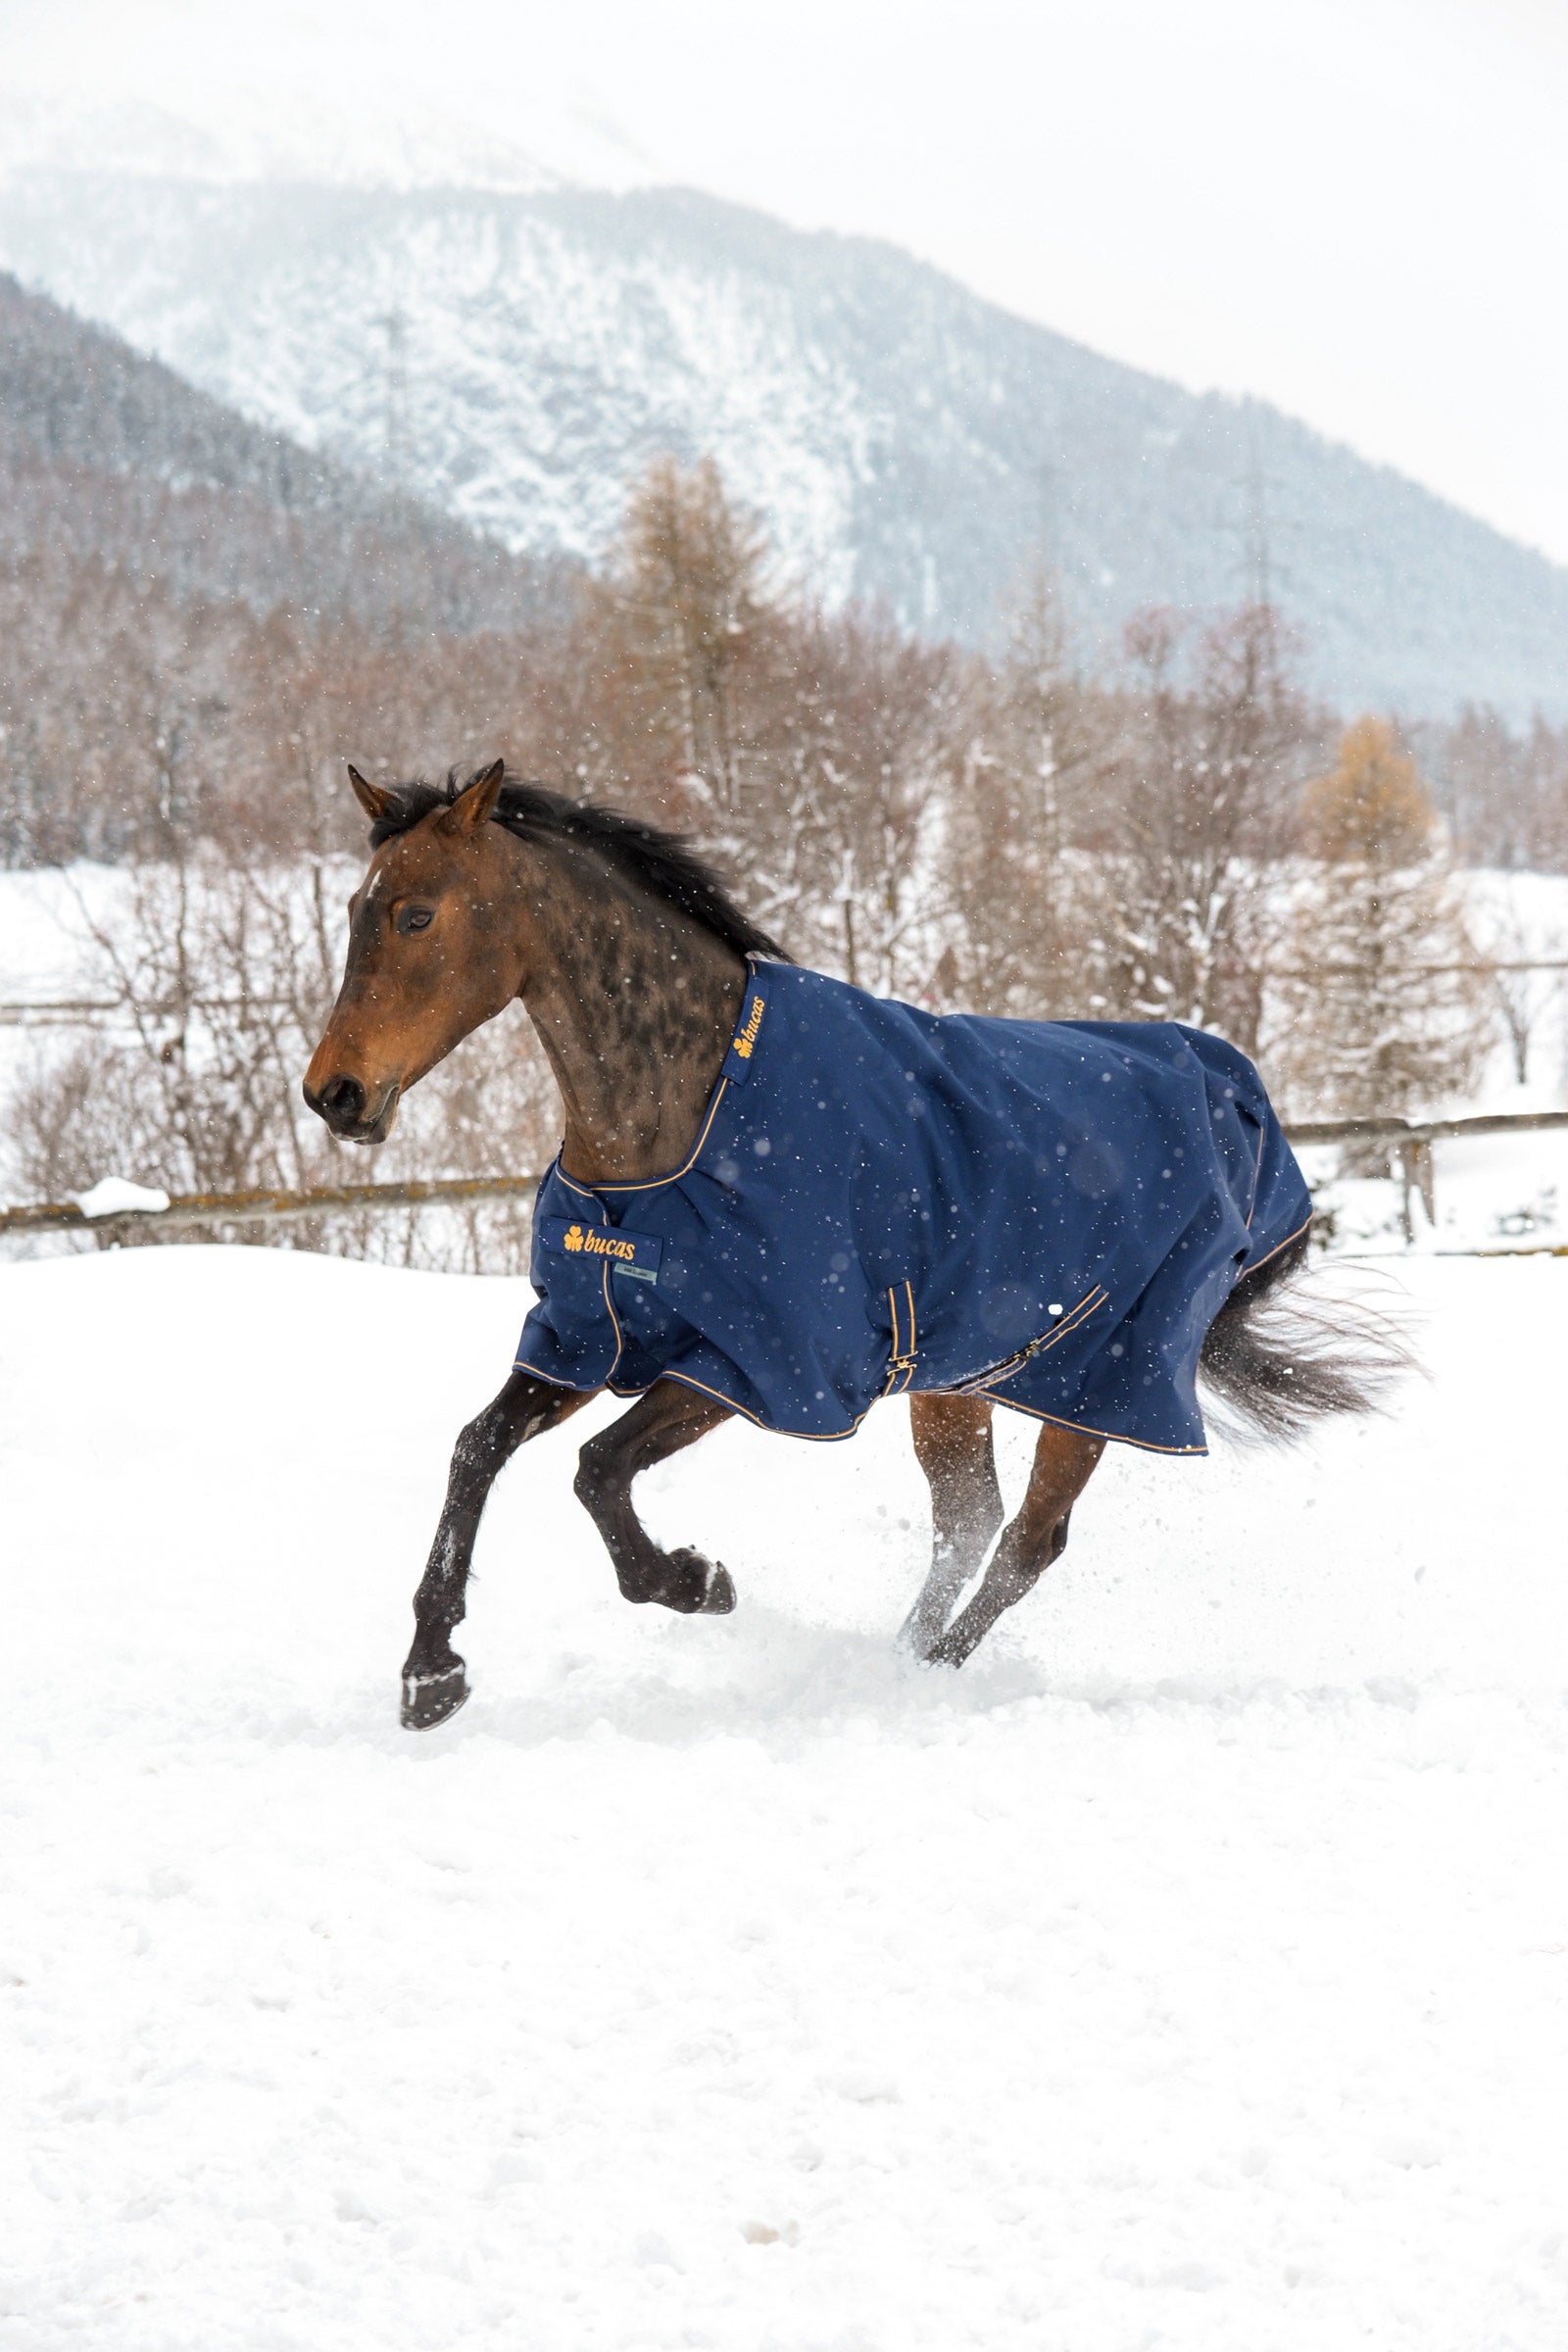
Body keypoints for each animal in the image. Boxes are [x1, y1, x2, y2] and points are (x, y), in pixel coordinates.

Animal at [305, 759, 1398, 1730]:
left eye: (417, 915)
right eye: (357, 908)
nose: (334, 1094)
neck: (682, 1120)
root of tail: (1243, 1107)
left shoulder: (756, 1362)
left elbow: (597, 1471)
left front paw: (696, 1580)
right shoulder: (588, 1334)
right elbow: (476, 1450)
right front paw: (430, 1674)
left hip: (1099, 1383)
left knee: (1027, 1543)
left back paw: (922, 1679)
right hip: (955, 1380)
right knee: (967, 1527)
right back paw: (899, 1660)